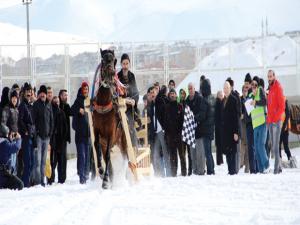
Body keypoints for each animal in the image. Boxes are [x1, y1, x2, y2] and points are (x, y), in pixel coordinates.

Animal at [92, 48, 127, 188]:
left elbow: (107, 155)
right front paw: (102, 171)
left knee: (125, 157)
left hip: (122, 140)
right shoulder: (96, 130)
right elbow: (96, 147)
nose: (110, 74)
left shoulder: (111, 132)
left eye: (114, 60)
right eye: (103, 59)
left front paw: (106, 178)